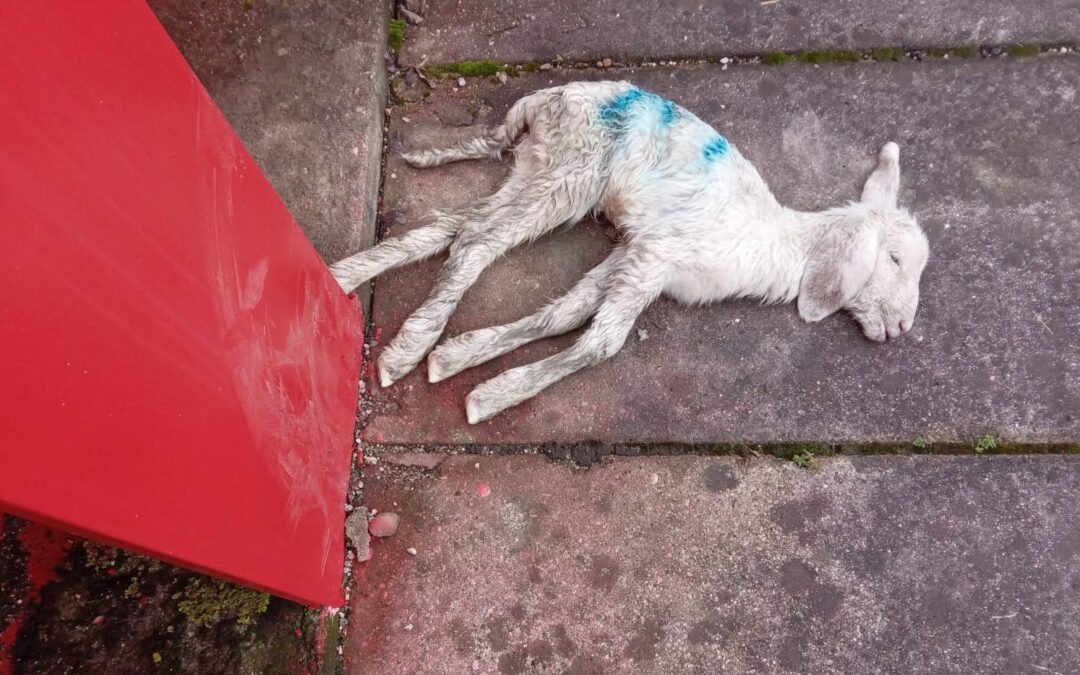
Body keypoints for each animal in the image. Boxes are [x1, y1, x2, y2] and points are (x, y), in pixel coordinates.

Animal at [329, 81, 930, 424]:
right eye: (895, 260)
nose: (901, 329)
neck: (779, 242)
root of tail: (541, 100)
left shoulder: (634, 253)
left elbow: (565, 312)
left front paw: (462, 356)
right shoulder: (658, 254)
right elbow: (603, 341)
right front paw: (493, 396)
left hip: (540, 165)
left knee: (454, 225)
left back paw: (353, 287)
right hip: (574, 171)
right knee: (478, 240)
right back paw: (409, 345)